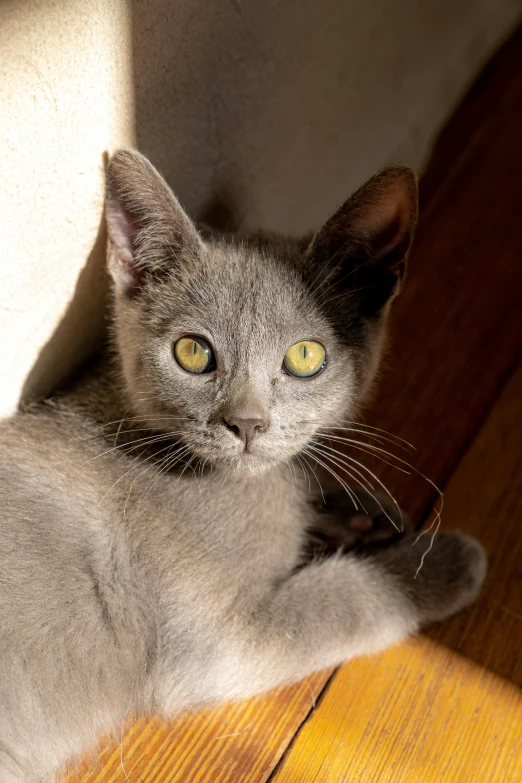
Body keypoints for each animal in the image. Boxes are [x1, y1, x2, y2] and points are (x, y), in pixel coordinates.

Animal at [0, 150, 486, 780]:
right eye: (192, 352)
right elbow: (344, 598)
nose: (248, 423)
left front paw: (361, 513)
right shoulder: (222, 644)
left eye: (306, 356)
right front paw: (435, 564)